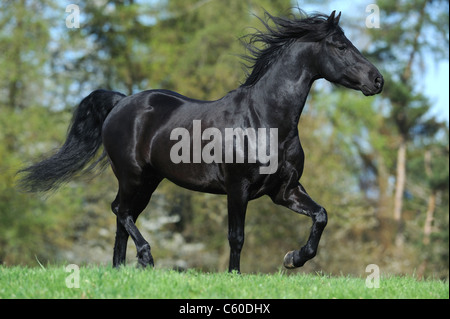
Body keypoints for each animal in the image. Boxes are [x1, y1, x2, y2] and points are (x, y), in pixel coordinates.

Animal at [17, 11, 384, 274]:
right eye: (340, 46)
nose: (377, 80)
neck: (266, 120)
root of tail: (121, 102)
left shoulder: (285, 190)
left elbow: (320, 215)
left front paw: (293, 258)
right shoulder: (238, 189)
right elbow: (237, 237)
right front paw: (235, 277)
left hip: (148, 181)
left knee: (123, 216)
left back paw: (121, 269)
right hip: (133, 176)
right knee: (120, 211)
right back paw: (145, 258)